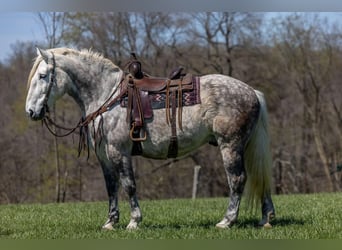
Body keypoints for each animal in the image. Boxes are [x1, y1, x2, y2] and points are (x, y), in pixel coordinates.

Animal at [24, 47, 276, 229]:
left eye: (43, 76)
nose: (31, 112)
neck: (107, 95)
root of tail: (252, 92)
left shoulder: (119, 152)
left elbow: (129, 185)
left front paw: (134, 222)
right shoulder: (104, 156)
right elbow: (111, 187)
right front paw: (110, 222)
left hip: (230, 145)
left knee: (238, 180)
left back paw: (227, 221)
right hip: (245, 146)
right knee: (259, 176)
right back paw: (266, 219)